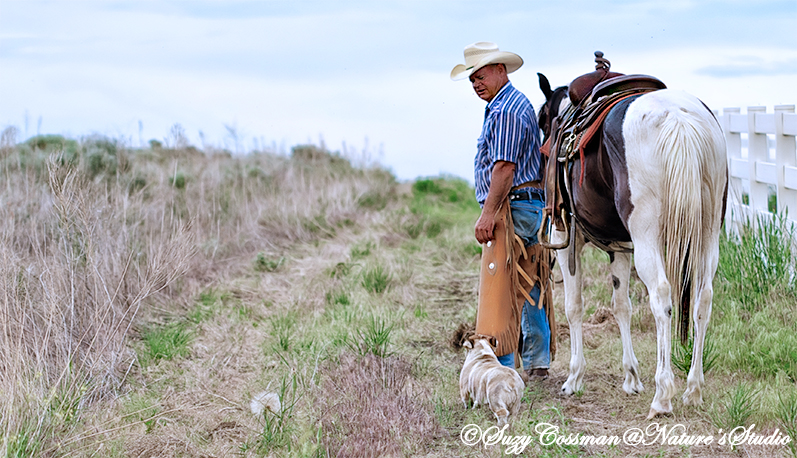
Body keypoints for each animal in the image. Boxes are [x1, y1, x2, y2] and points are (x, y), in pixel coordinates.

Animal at [536, 60, 728, 418]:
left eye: (543, 119)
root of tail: (677, 116)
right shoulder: (620, 249)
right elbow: (620, 306)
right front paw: (631, 377)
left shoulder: (567, 239)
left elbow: (574, 307)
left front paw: (574, 378)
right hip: (708, 234)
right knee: (703, 299)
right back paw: (693, 389)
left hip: (647, 238)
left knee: (662, 298)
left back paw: (663, 395)